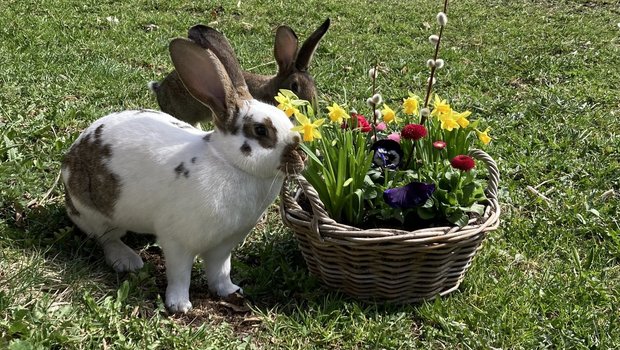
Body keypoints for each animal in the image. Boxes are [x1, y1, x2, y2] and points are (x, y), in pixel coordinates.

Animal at [61, 31, 306, 314]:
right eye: (261, 130)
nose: (301, 157)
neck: (229, 163)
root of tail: (70, 155)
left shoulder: (224, 246)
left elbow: (220, 271)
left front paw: (230, 291)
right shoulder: (179, 242)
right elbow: (180, 275)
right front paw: (179, 305)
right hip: (96, 214)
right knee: (107, 239)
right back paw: (128, 260)